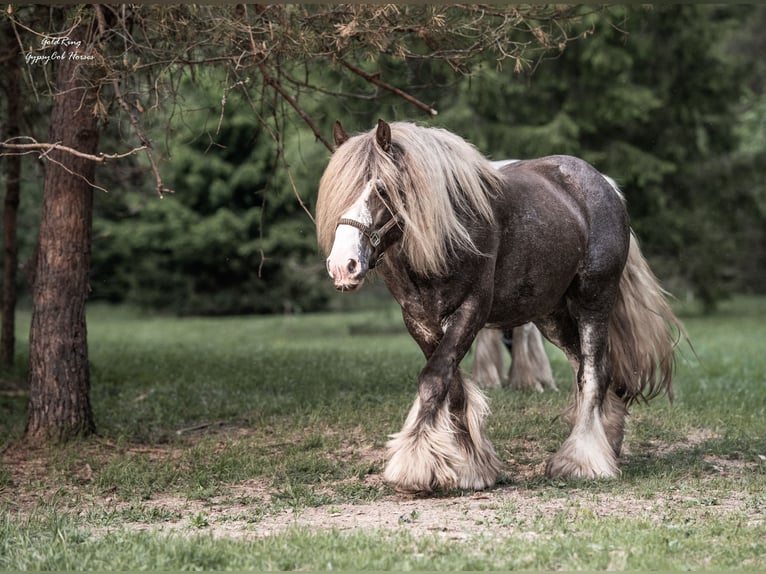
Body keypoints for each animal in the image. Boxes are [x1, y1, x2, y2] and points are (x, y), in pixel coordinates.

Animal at [316, 120, 688, 496]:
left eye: (380, 188)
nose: (343, 266)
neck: (447, 233)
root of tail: (605, 185)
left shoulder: (471, 312)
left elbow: (434, 380)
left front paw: (415, 466)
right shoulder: (420, 322)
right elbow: (453, 388)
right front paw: (471, 467)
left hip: (593, 300)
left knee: (594, 372)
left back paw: (581, 460)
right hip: (551, 317)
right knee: (589, 369)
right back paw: (607, 445)